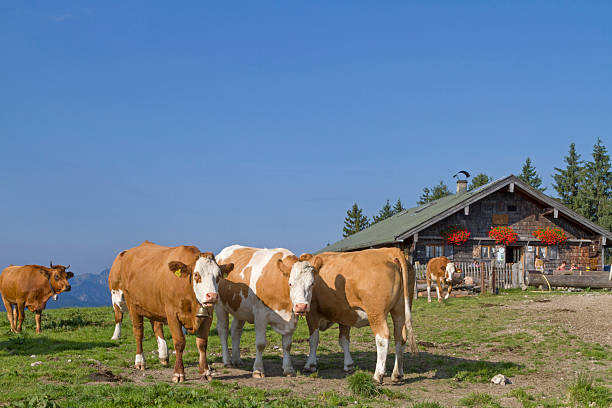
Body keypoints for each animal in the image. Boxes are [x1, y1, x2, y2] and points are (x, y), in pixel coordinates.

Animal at [109, 239, 233, 382]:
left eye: (218, 276)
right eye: (196, 275)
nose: (212, 296)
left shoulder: (208, 316)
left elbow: (202, 343)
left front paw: (205, 371)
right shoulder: (172, 314)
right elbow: (179, 342)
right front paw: (178, 373)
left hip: (154, 304)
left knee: (156, 326)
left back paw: (163, 356)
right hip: (132, 304)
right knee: (138, 332)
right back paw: (140, 361)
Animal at [215, 244, 318, 378]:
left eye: (312, 284)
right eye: (290, 284)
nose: (301, 307)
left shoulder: (291, 319)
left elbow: (287, 345)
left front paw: (288, 369)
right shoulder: (260, 315)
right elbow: (260, 344)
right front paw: (258, 370)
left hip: (240, 309)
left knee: (235, 331)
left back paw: (237, 360)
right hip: (220, 306)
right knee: (223, 330)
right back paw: (227, 361)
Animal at [298, 247, 418, 384]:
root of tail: (390, 251)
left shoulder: (312, 312)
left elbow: (313, 339)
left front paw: (310, 364)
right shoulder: (344, 314)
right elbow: (343, 339)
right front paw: (349, 365)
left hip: (376, 313)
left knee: (383, 338)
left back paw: (378, 375)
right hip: (400, 310)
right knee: (400, 338)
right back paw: (397, 374)